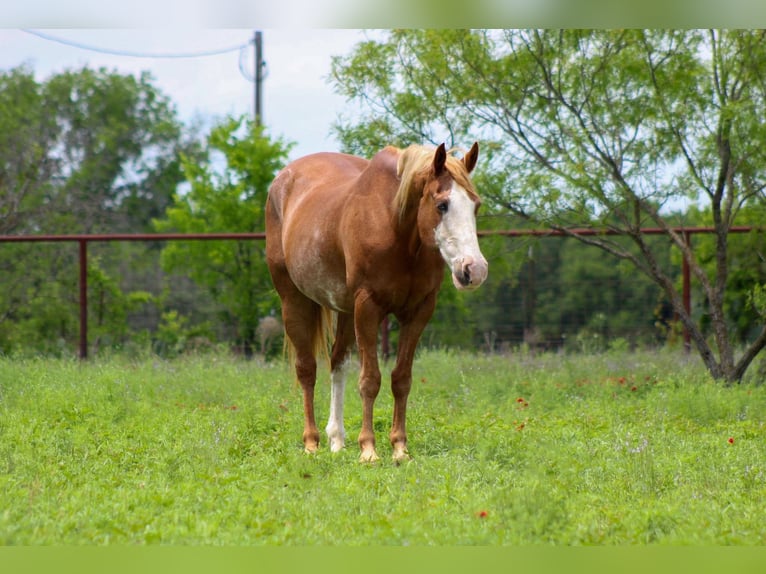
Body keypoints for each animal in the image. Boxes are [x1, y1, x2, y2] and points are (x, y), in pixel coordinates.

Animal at [265, 142, 488, 462]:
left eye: (475, 205)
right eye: (442, 205)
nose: (475, 270)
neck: (395, 227)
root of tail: (283, 179)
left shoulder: (418, 312)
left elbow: (401, 379)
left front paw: (399, 447)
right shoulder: (368, 307)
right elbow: (370, 380)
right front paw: (368, 449)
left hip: (345, 311)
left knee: (337, 363)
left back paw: (337, 440)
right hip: (293, 300)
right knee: (307, 369)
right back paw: (311, 442)